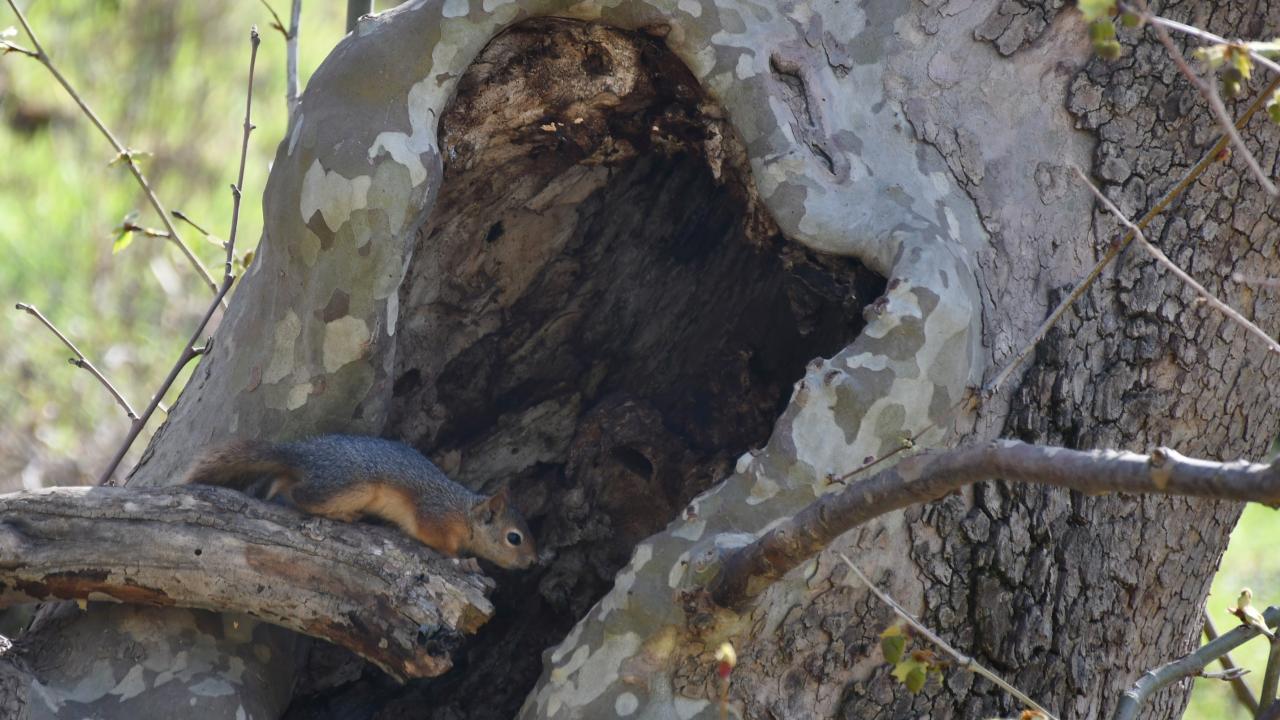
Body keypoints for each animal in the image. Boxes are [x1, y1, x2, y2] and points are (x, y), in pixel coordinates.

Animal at [183, 434, 537, 570]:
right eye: (514, 538)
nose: (535, 561)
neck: (464, 512)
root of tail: (302, 453)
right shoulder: (435, 515)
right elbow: (437, 541)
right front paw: (463, 560)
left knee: (283, 483)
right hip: (351, 485)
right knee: (299, 495)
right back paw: (344, 515)